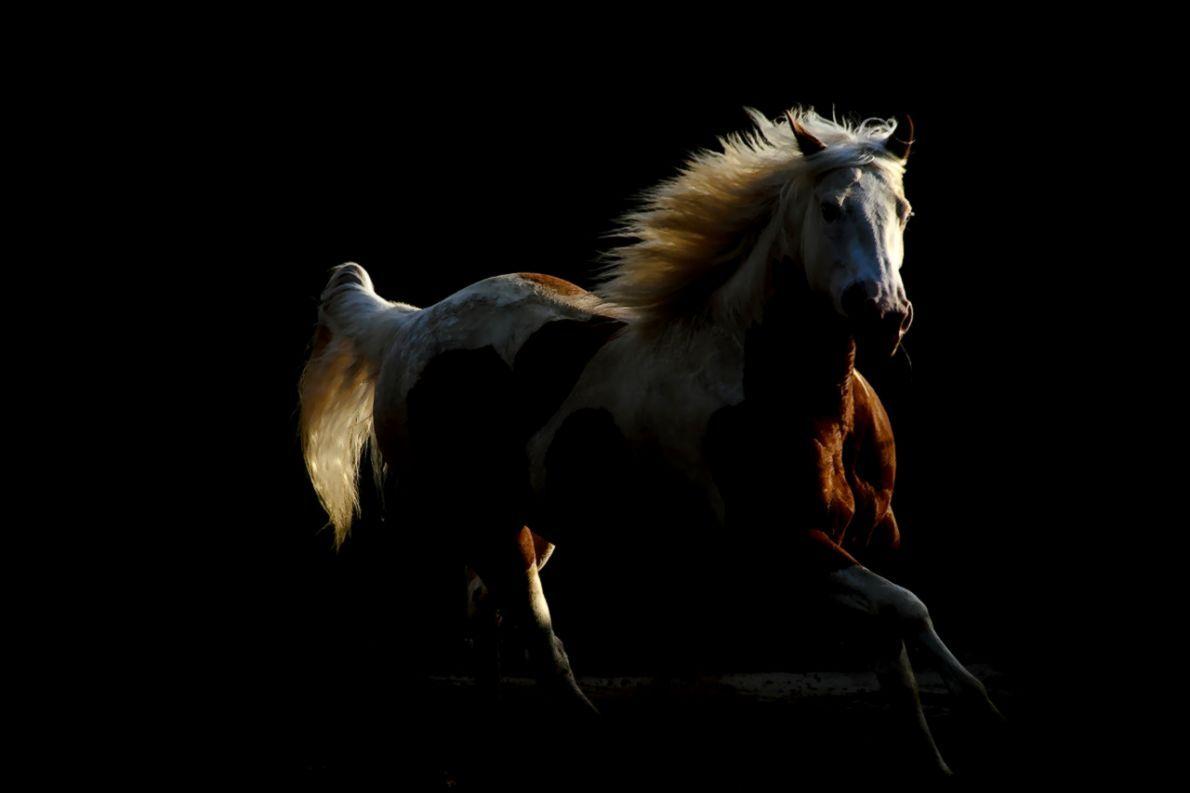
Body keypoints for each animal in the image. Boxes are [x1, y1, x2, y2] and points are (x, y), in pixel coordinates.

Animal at [298, 106, 1001, 775]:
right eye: (830, 209)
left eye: (904, 211)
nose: (884, 314)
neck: (793, 392)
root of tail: (409, 325)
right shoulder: (786, 544)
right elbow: (908, 610)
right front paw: (979, 704)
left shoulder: (868, 539)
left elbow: (896, 661)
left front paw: (935, 759)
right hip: (488, 524)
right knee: (539, 638)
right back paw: (593, 733)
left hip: (529, 524)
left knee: (489, 617)